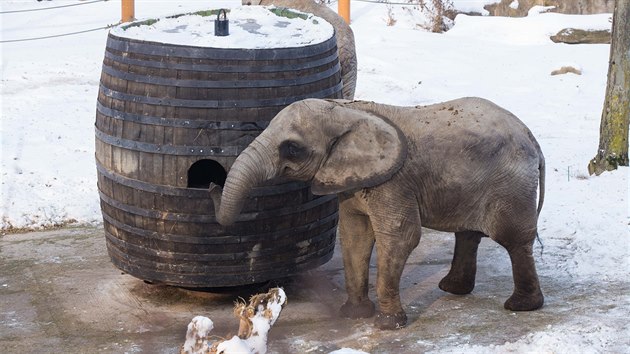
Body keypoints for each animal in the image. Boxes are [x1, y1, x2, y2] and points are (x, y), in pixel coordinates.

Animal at [210, 96, 544, 330]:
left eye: (292, 148)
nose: (211, 182)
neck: (347, 110)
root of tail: (530, 136)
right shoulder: (352, 180)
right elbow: (355, 236)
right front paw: (353, 316)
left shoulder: (394, 181)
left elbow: (400, 237)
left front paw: (387, 325)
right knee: (469, 234)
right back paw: (453, 289)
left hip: (510, 185)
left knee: (513, 239)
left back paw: (521, 307)